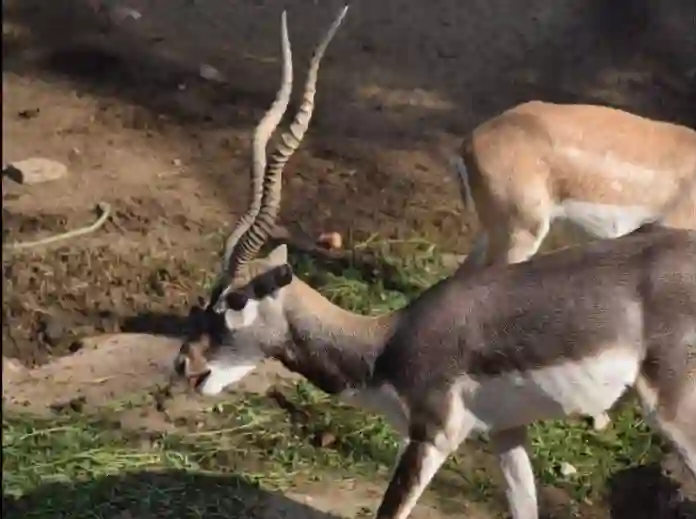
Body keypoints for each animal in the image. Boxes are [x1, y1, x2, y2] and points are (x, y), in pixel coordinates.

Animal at [170, 5, 696, 519]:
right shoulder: (506, 432)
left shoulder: (431, 436)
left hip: (673, 412)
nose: (185, 365)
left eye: (237, 300)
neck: (384, 344)